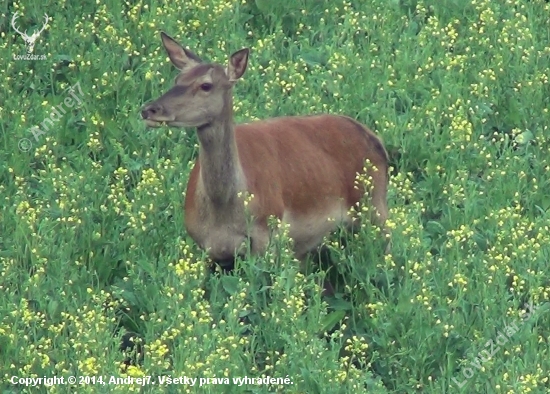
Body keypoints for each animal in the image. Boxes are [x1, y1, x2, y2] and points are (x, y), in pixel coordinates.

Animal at [142, 31, 392, 290]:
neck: (224, 211)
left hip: (376, 209)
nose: (150, 109)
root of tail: (376, 140)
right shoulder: (204, 246)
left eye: (206, 85)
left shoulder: (267, 236)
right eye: (177, 79)